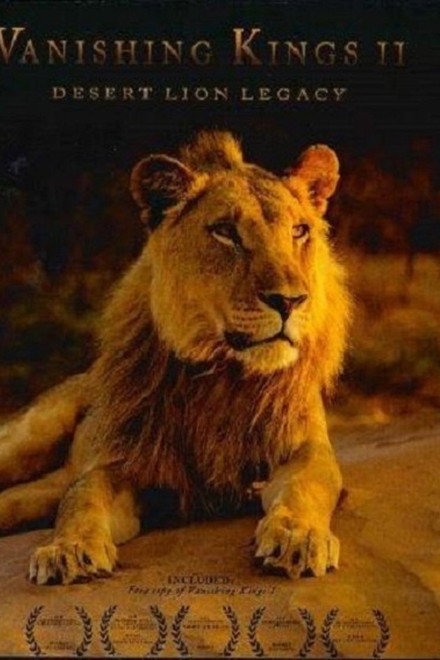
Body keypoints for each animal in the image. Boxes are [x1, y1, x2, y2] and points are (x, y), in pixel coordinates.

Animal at [0, 130, 350, 585]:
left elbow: (307, 486)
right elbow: (82, 498)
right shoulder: (124, 464)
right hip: (28, 437)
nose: (289, 301)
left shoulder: (305, 448)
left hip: (36, 494)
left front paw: (298, 536)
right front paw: (68, 549)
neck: (225, 376)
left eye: (299, 231)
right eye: (226, 232)